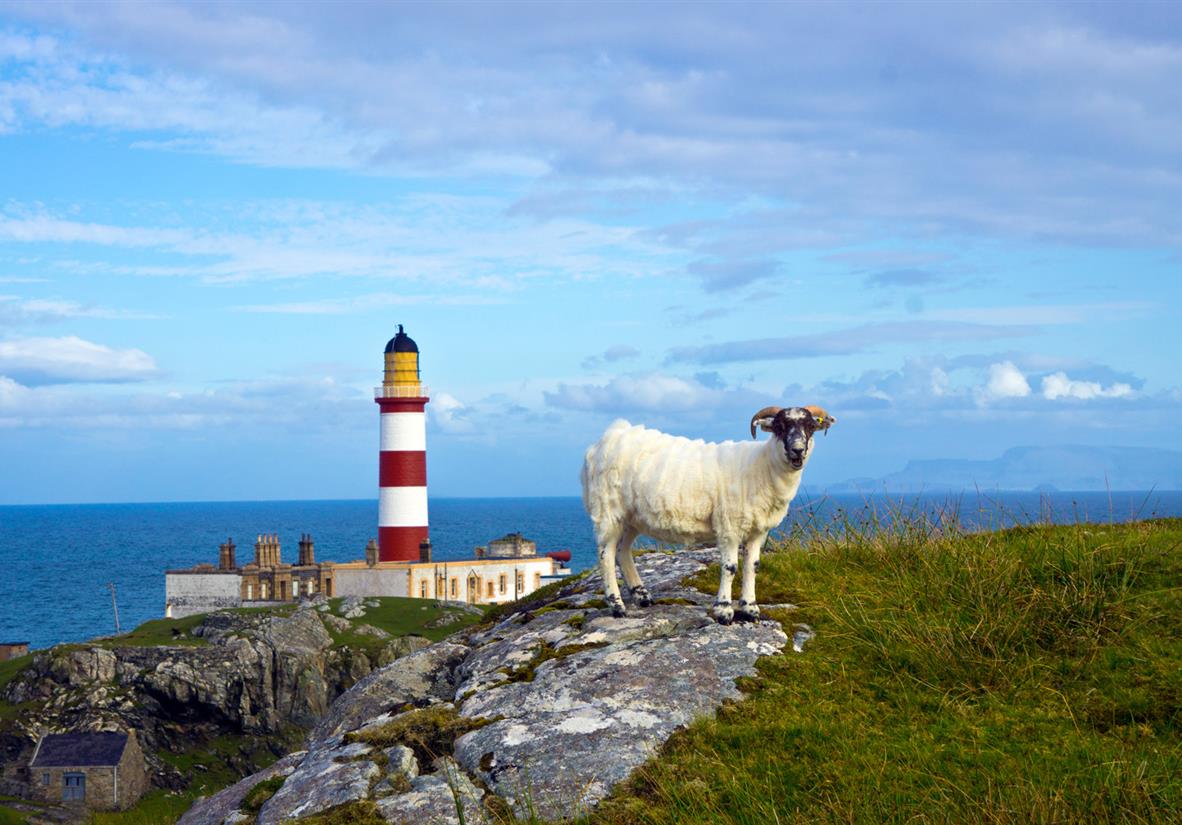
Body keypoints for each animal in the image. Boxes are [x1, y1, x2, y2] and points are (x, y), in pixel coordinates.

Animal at [581, 405, 835, 624]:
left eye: (810, 426)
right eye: (780, 426)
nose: (797, 450)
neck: (761, 467)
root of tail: (609, 436)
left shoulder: (758, 530)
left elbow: (752, 566)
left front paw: (750, 609)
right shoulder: (729, 526)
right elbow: (730, 567)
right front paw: (724, 611)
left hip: (633, 516)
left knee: (623, 551)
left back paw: (641, 595)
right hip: (609, 510)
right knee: (606, 554)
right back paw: (617, 606)